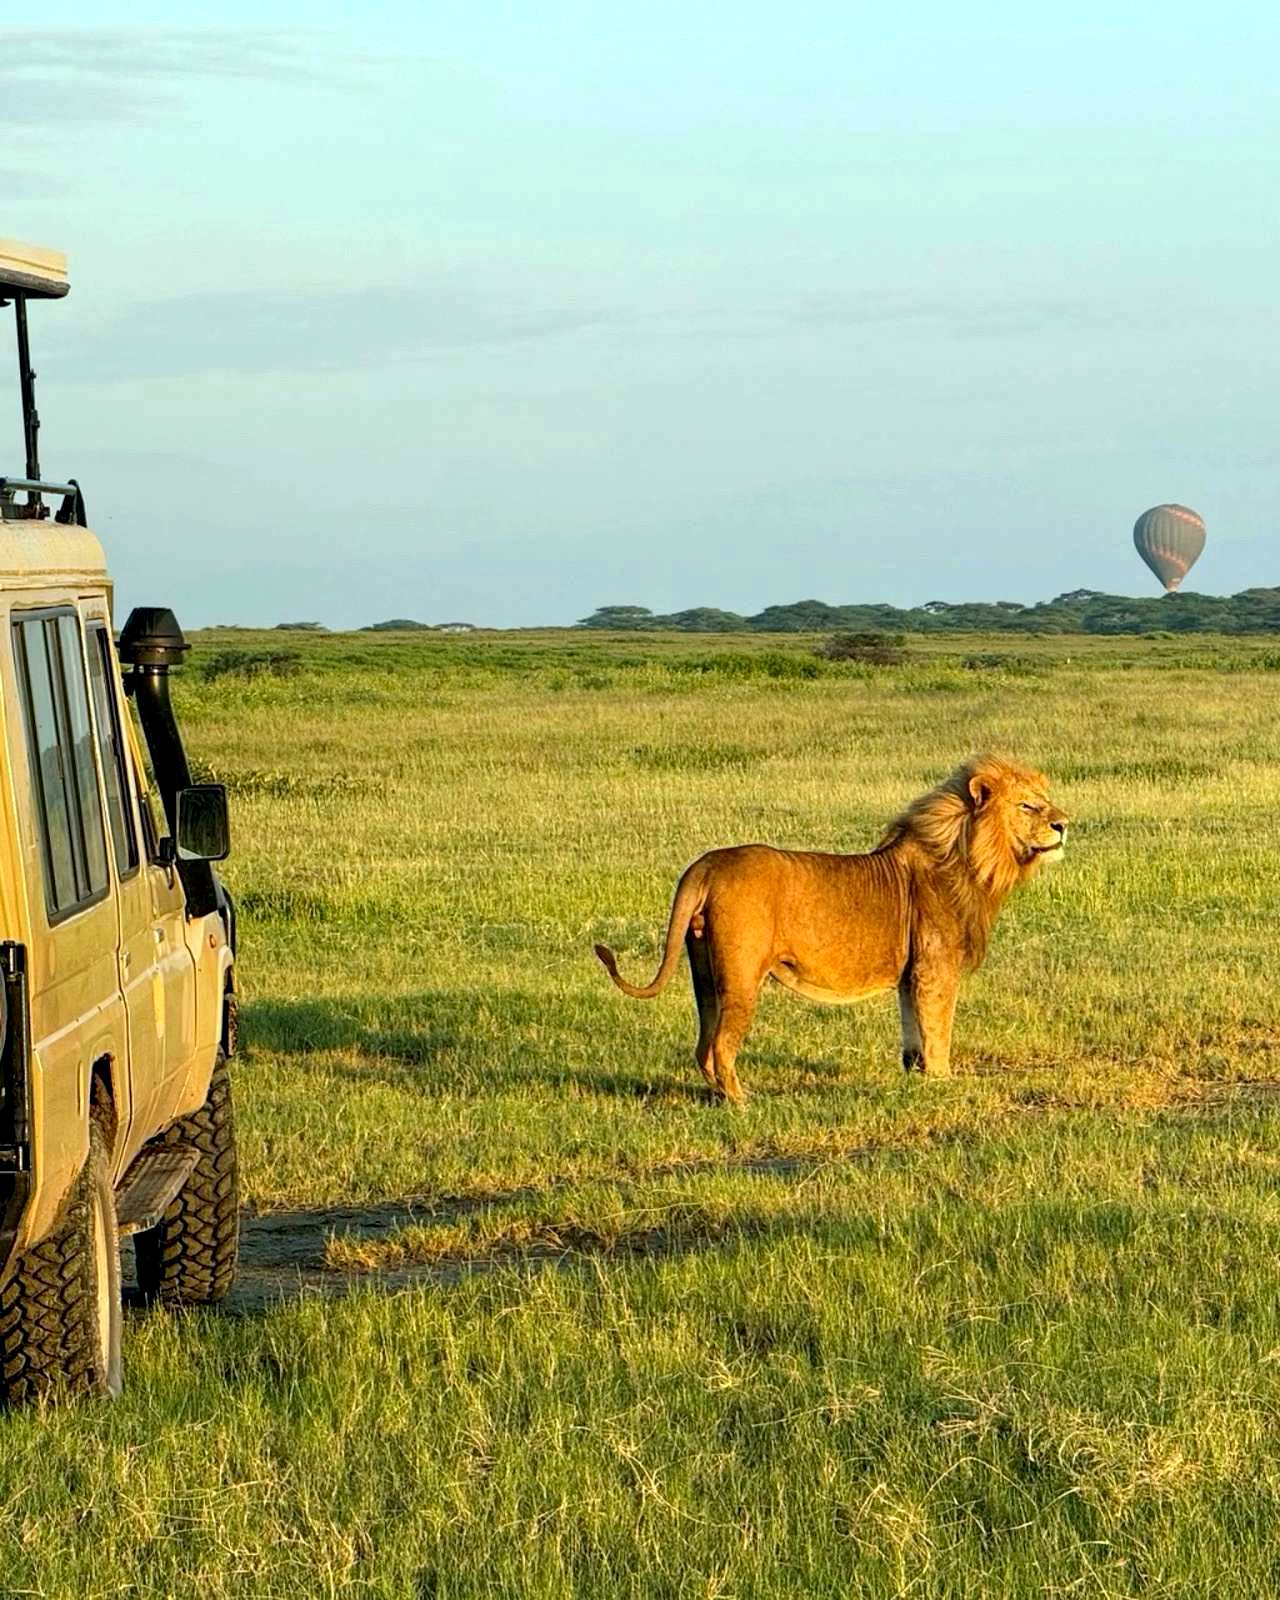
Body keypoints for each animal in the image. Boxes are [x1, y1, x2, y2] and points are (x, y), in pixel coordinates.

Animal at [594, 755, 1067, 1102]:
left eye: (1045, 800)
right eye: (1028, 805)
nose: (1064, 824)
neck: (971, 859)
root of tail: (707, 864)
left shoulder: (910, 975)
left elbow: (913, 1032)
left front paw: (915, 1077)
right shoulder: (935, 969)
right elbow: (938, 1030)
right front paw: (942, 1084)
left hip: (704, 973)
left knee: (702, 1045)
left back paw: (720, 1097)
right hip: (742, 976)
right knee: (721, 1045)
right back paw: (743, 1102)